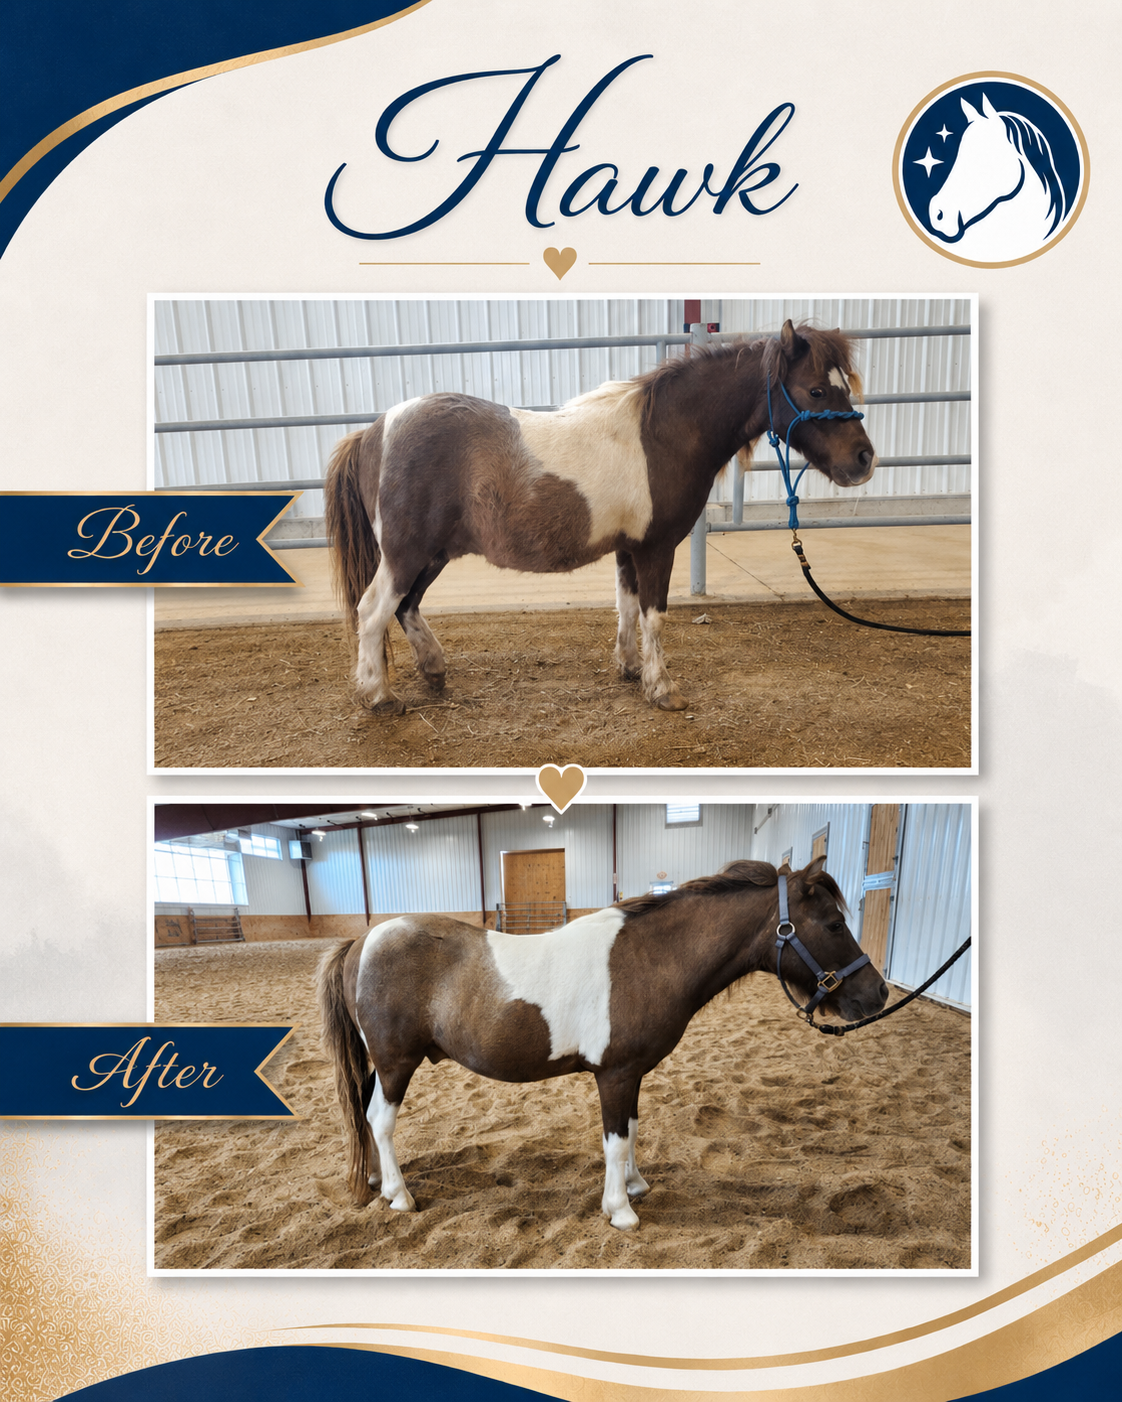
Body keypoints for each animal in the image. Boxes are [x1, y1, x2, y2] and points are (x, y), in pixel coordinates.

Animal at [316, 856, 888, 1231]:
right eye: (833, 924)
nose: (878, 994)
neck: (650, 958)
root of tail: (362, 942)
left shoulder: (631, 1074)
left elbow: (631, 1130)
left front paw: (635, 1187)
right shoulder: (615, 1073)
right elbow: (615, 1140)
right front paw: (621, 1211)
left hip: (380, 1064)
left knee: (366, 1117)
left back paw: (375, 1182)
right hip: (397, 1062)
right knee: (380, 1120)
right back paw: (399, 1196)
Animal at [323, 321, 877, 715]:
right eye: (816, 391)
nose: (864, 459)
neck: (664, 433)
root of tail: (373, 432)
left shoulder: (628, 549)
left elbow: (626, 608)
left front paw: (631, 669)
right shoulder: (656, 548)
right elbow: (654, 614)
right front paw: (663, 689)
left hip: (432, 554)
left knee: (406, 607)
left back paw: (433, 670)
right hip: (406, 553)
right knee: (374, 611)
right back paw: (379, 697)